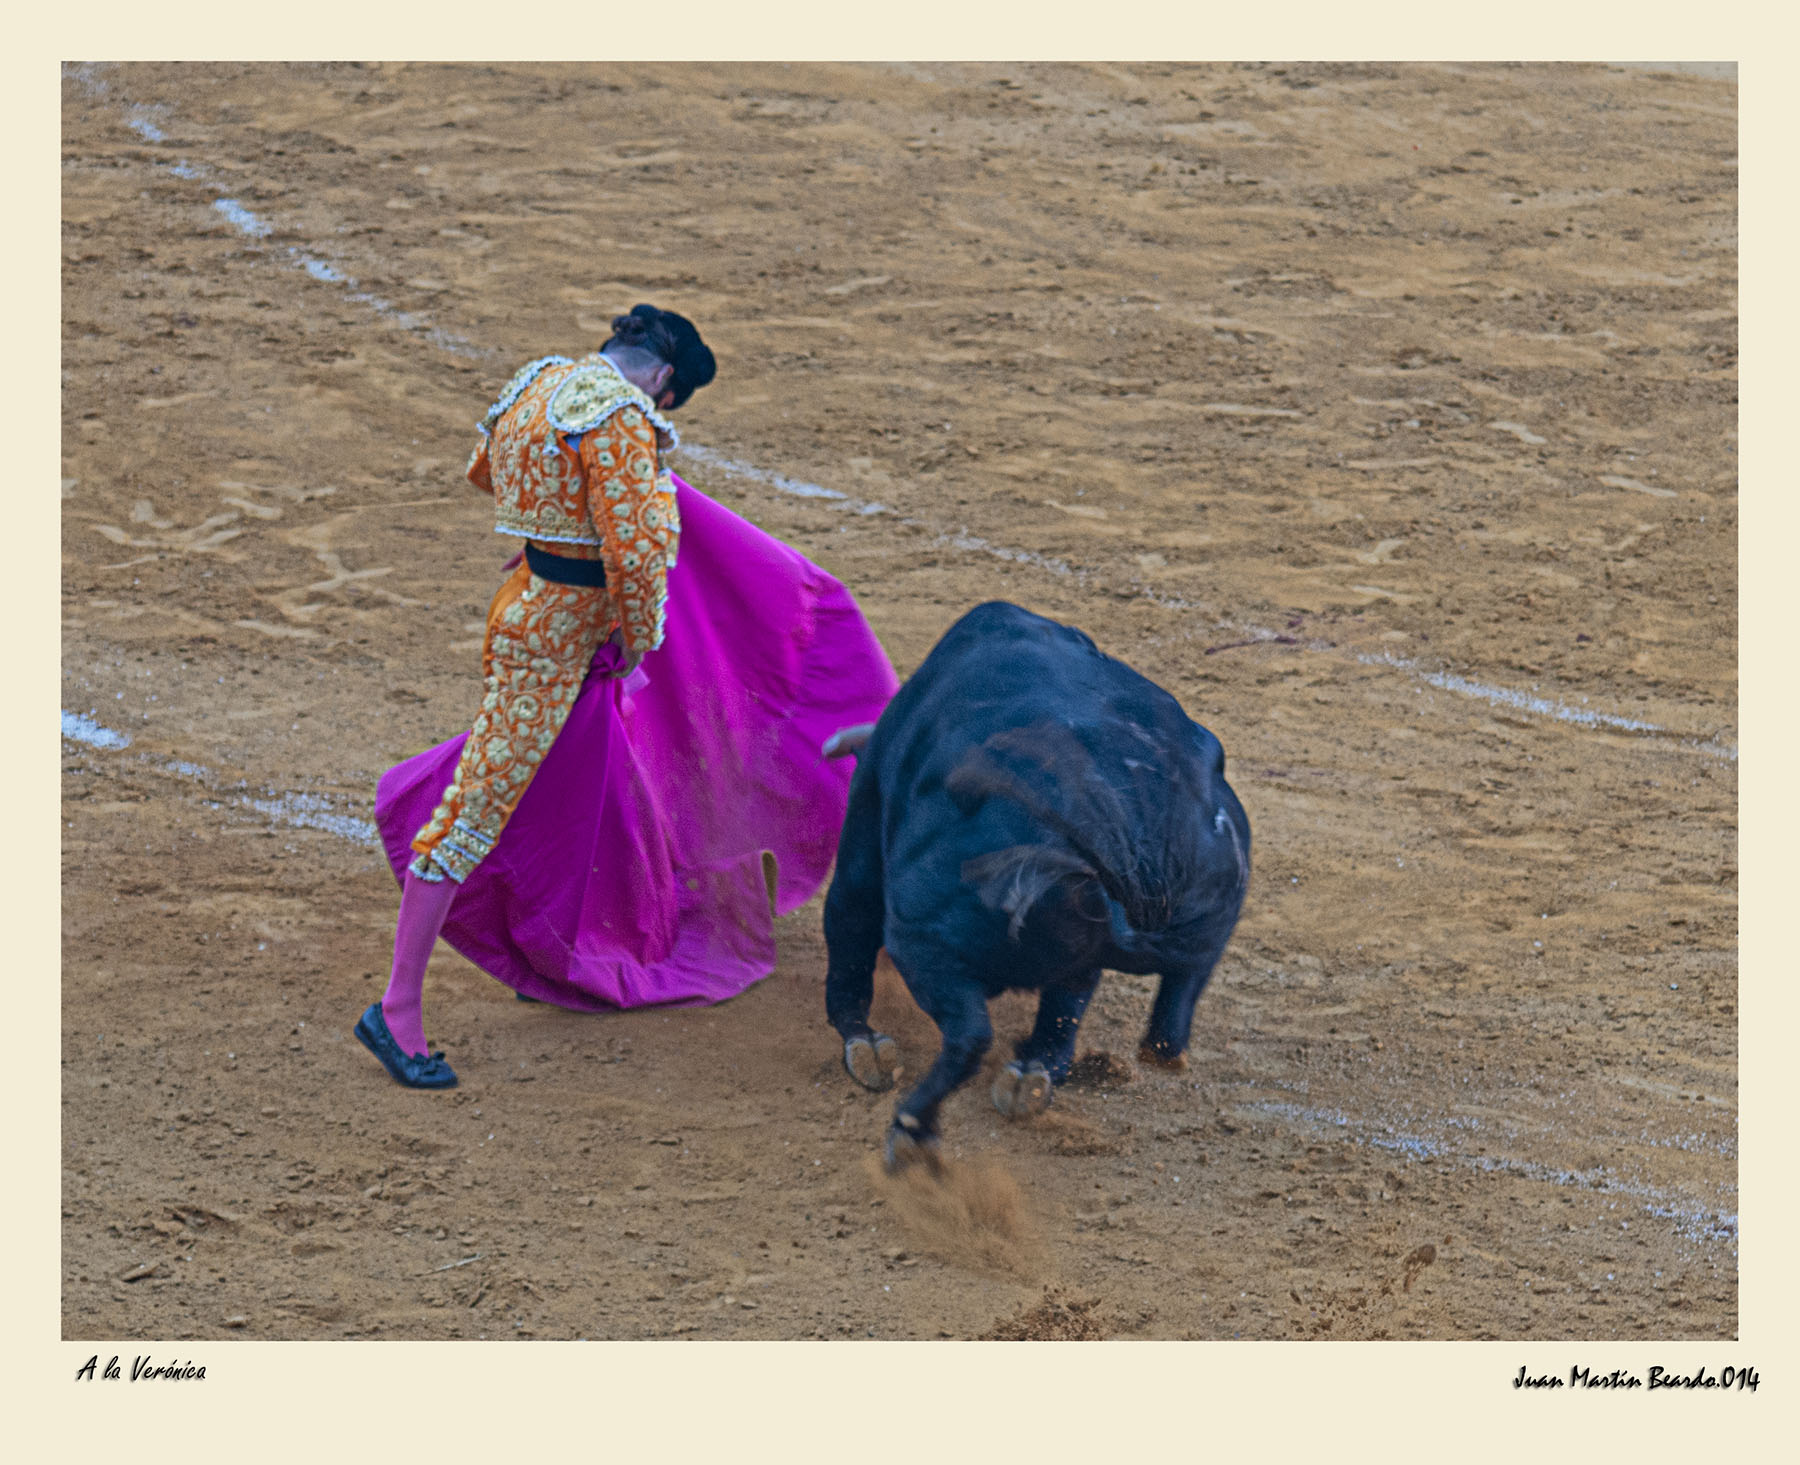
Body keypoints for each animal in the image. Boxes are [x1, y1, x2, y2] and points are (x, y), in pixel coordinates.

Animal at [821, 601, 1250, 1171]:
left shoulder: (865, 842)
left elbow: (849, 927)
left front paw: (862, 1042)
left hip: (924, 945)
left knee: (969, 1035)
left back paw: (910, 1123)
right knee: (1170, 988)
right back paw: (1053, 1071)